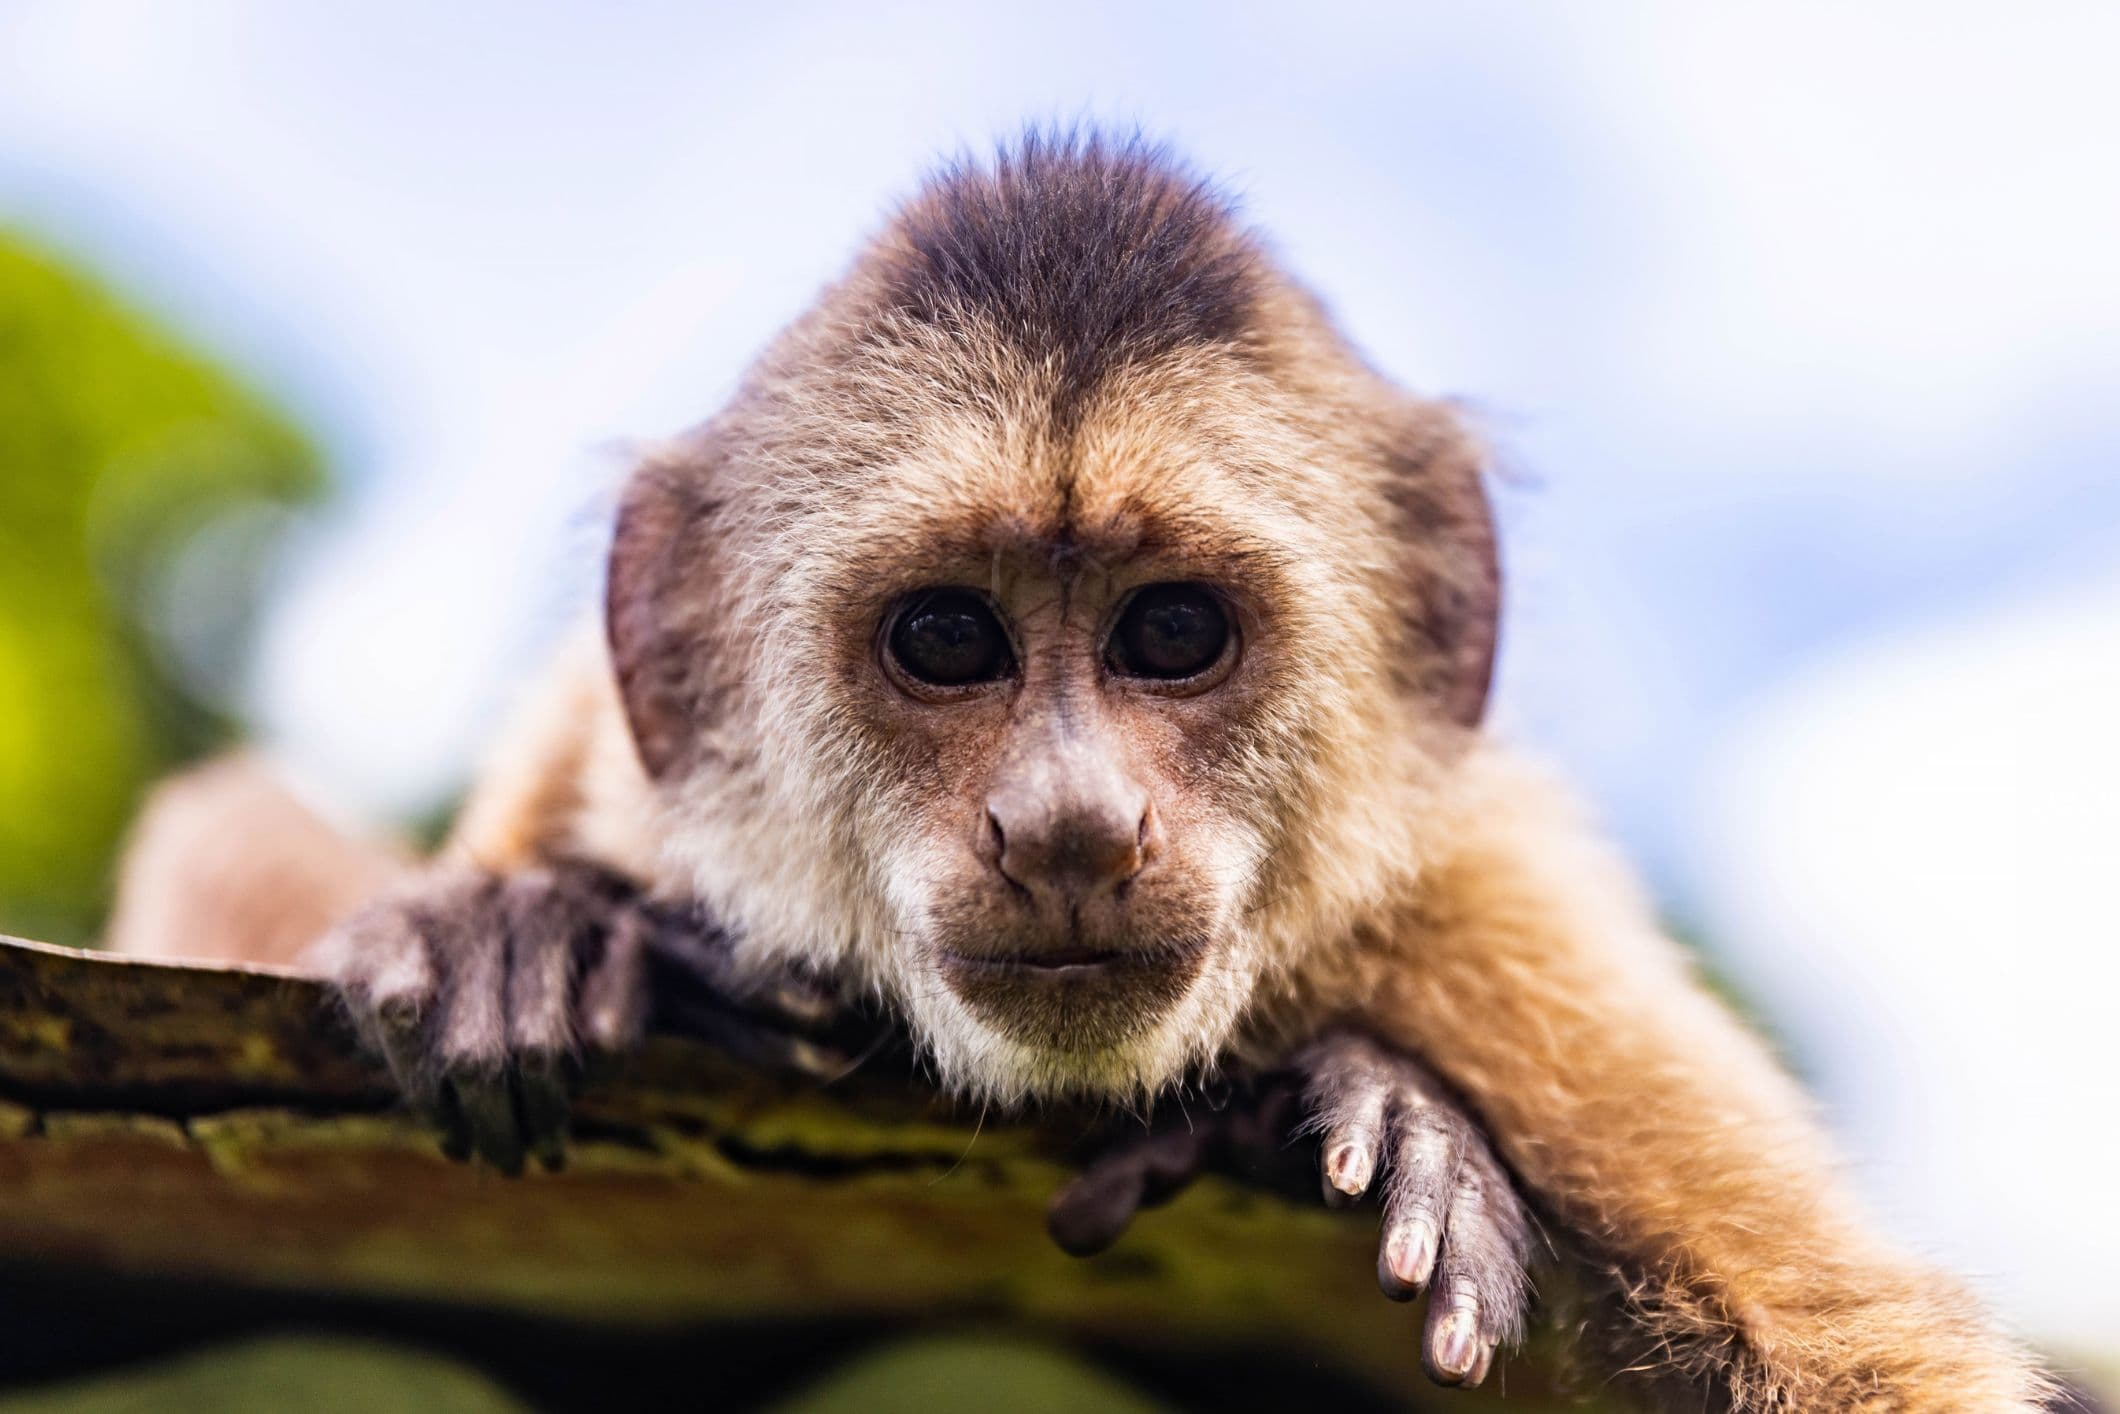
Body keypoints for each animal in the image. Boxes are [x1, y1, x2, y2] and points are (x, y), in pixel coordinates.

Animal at [111, 135, 2052, 1414]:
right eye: (949, 638)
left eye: (1173, 631)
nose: (1066, 823)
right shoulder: (601, 758)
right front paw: (532, 939)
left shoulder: (1504, 944)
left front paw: (1374, 1106)